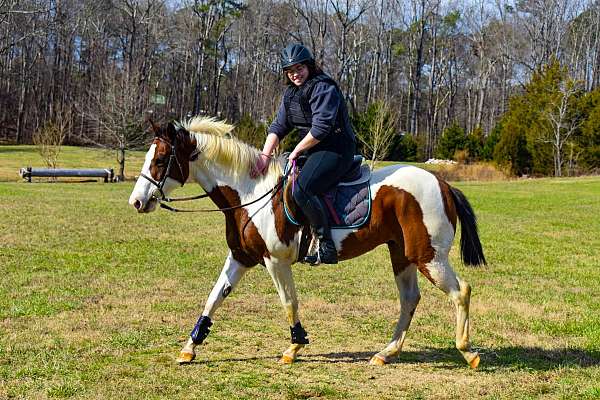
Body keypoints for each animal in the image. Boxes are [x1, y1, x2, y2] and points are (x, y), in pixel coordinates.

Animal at [127, 114, 488, 368]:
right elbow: (213, 298)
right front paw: (190, 347)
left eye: (160, 160)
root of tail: (442, 183)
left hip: (429, 256)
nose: (137, 202)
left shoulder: (275, 261)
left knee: (461, 291)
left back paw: (468, 352)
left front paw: (295, 346)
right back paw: (386, 353)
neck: (249, 193)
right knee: (410, 299)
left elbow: (289, 302)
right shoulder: (240, 257)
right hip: (402, 255)